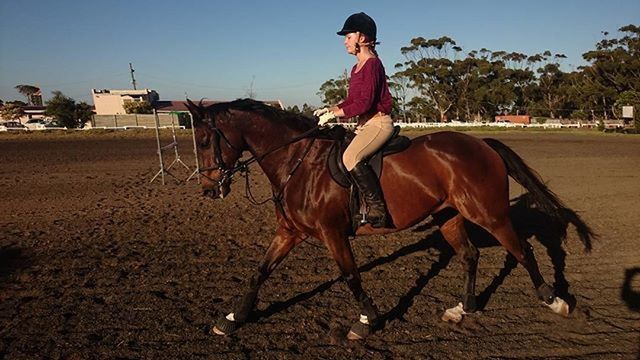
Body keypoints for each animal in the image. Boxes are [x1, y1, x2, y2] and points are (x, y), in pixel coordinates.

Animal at [185, 98, 596, 340]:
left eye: (204, 141)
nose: (208, 189)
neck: (297, 162)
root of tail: (481, 143)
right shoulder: (289, 231)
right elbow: (259, 271)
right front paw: (232, 318)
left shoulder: (332, 233)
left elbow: (351, 277)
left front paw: (367, 320)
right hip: (450, 216)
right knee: (470, 255)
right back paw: (463, 308)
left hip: (489, 215)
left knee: (524, 250)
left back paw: (555, 302)